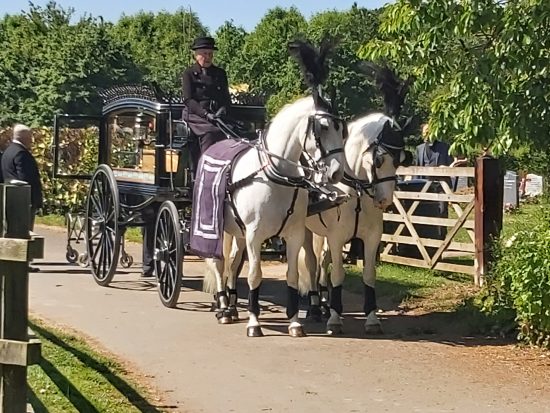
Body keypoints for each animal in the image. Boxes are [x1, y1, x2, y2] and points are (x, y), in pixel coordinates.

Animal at [203, 39, 350, 334]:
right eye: (323, 127)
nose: (337, 172)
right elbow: (254, 275)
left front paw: (294, 322)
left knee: (231, 262)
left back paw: (231, 305)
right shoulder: (254, 234)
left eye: (342, 129)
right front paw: (254, 322)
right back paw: (223, 306)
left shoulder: (293, 233)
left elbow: (291, 275)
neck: (277, 177)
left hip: (236, 231)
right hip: (216, 227)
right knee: (218, 261)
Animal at [298, 63, 414, 334]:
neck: (356, 192)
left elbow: (369, 274)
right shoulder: (337, 237)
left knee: (322, 263)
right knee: (312, 262)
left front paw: (371, 318)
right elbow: (338, 274)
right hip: (308, 230)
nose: (384, 200)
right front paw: (335, 318)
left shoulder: (371, 237)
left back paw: (323, 301)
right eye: (379, 159)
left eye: (401, 159)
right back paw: (315, 306)